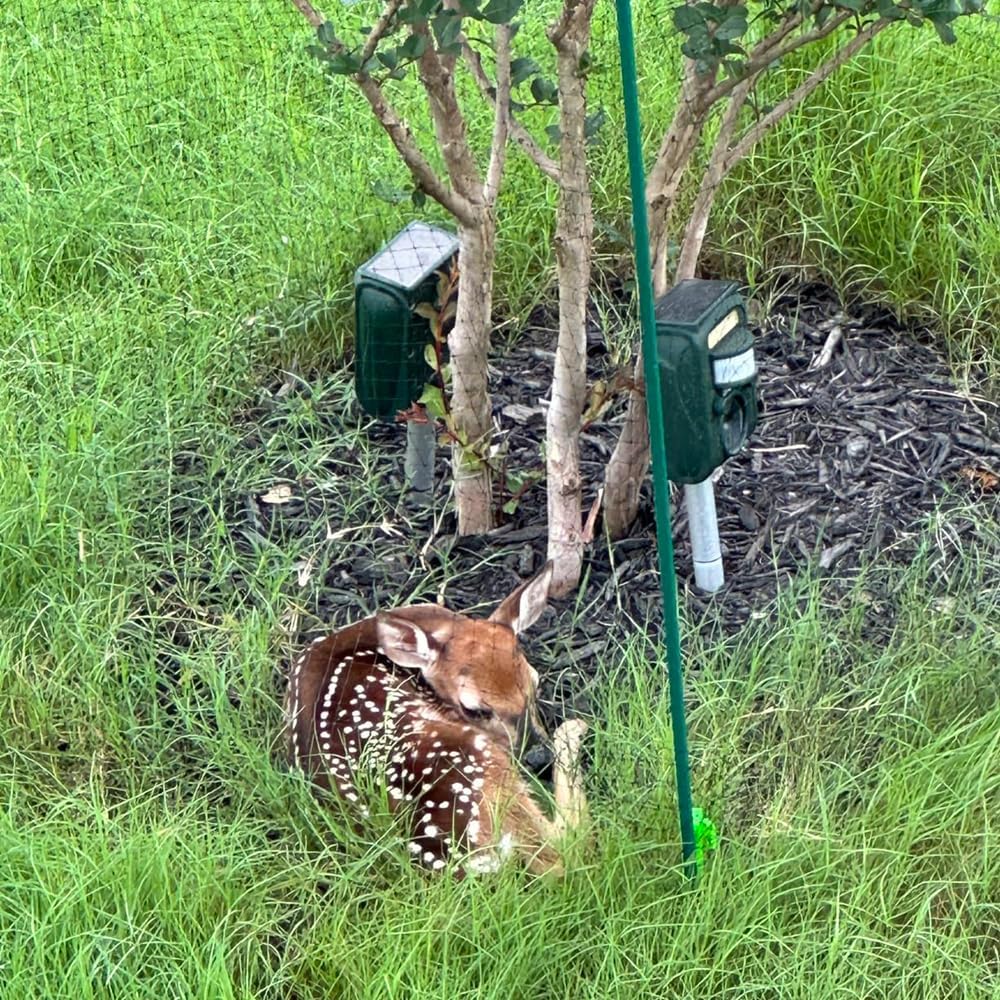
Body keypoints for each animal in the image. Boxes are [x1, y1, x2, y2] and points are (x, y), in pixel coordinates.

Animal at [284, 562, 589, 877]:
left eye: (535, 684)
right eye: (473, 709)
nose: (539, 756)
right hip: (476, 756)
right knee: (563, 853)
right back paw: (572, 731)